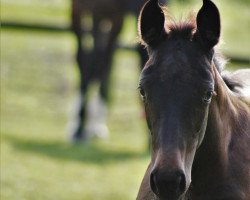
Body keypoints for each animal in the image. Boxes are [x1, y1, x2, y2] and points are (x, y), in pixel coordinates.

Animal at [69, 0, 167, 141]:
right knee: (86, 59)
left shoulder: (116, 15)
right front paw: (78, 128)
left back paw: (97, 123)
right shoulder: (90, 10)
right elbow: (90, 64)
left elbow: (100, 62)